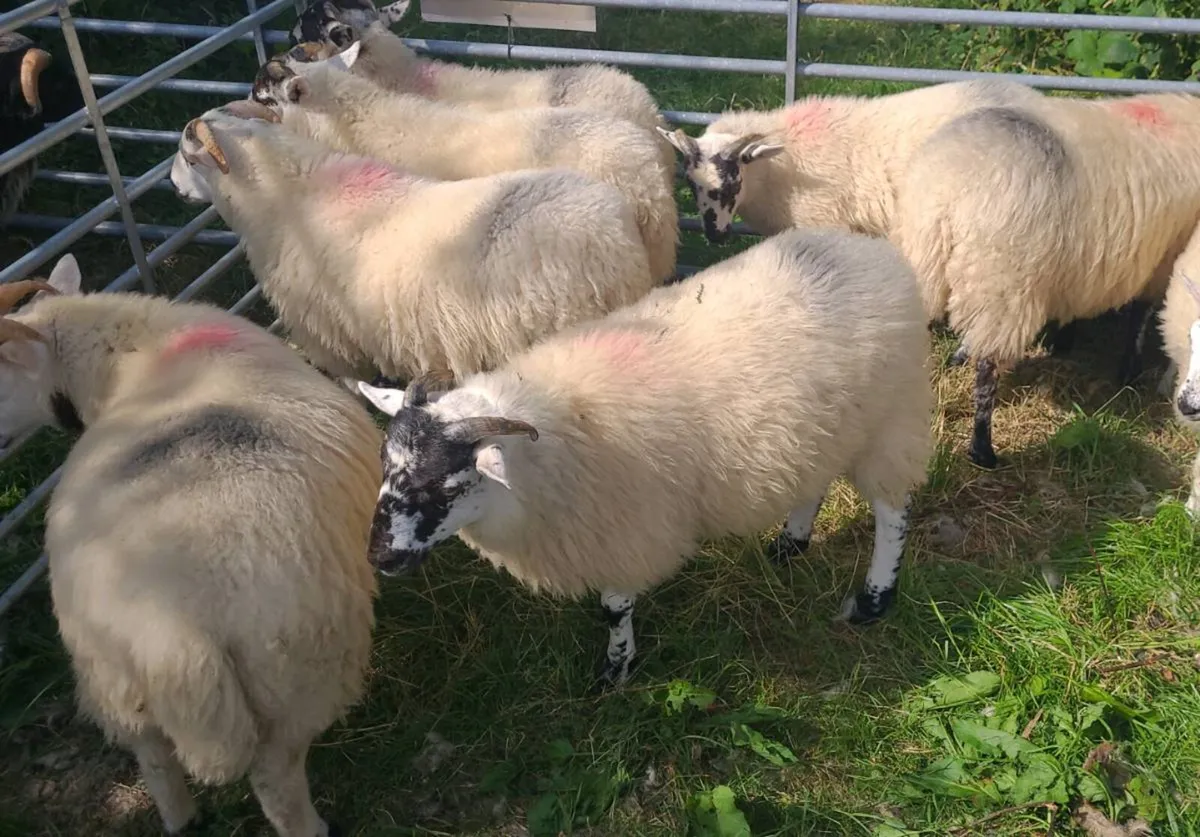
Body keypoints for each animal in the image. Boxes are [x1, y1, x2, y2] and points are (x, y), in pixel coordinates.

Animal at [0, 254, 381, 837]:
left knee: (155, 760)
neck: (136, 353)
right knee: (276, 780)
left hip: (114, 679)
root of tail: (171, 631)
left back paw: (180, 819)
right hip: (292, 675)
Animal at [169, 99, 656, 383]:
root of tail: (617, 231)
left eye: (187, 156)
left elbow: (350, 383)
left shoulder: (325, 331)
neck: (280, 197)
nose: (173, 186)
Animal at [355, 227, 934, 687]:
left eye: (449, 484)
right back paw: (790, 544)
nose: (379, 558)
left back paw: (874, 599)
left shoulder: (626, 529)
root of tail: (872, 249)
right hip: (821, 427)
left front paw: (617, 669)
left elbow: (614, 609)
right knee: (813, 477)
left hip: (891, 420)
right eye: (386, 467)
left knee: (893, 511)